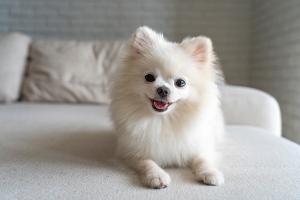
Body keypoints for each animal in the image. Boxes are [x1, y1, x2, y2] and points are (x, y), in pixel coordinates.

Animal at [109, 26, 224, 189]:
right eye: (149, 77)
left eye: (180, 83)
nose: (163, 89)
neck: (163, 120)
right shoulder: (131, 153)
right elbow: (147, 162)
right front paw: (157, 176)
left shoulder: (201, 146)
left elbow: (202, 160)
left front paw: (210, 173)